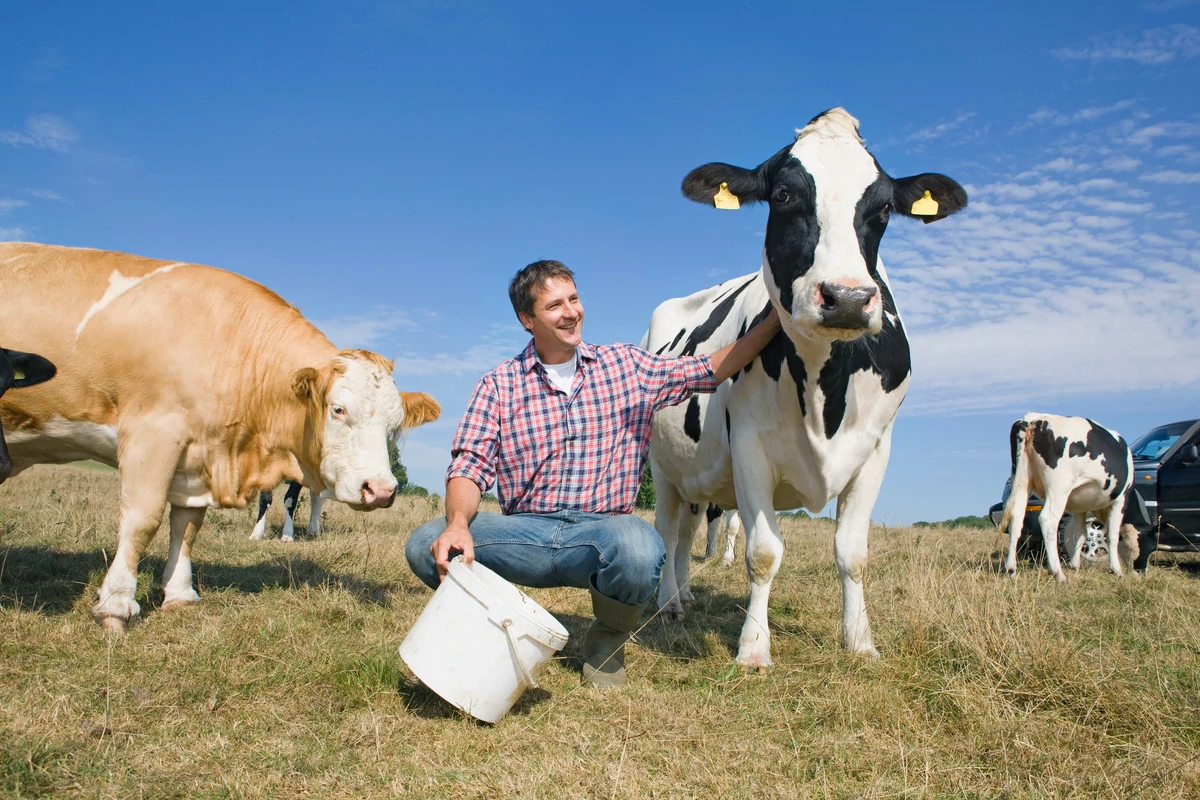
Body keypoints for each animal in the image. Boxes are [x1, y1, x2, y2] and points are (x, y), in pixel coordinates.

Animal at [0, 241, 441, 628]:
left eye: (394, 426)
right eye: (338, 409)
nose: (381, 490)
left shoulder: (198, 455)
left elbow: (188, 525)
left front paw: (180, 594)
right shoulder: (153, 433)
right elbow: (143, 518)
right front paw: (117, 603)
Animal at [648, 107, 964, 671]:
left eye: (883, 208)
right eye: (783, 195)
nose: (848, 298)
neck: (824, 390)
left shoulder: (876, 450)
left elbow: (853, 554)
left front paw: (860, 641)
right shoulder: (749, 446)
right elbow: (763, 553)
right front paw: (754, 649)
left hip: (696, 478)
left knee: (684, 535)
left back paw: (683, 598)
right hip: (662, 468)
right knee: (666, 530)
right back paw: (668, 604)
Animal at [998, 412, 1137, 582]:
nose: (1137, 569)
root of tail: (1032, 419)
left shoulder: (1080, 507)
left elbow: (1081, 534)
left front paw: (1074, 565)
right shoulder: (1121, 500)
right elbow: (1112, 535)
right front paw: (1116, 569)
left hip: (1022, 480)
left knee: (1016, 518)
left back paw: (1011, 569)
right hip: (1059, 488)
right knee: (1048, 520)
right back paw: (1057, 572)